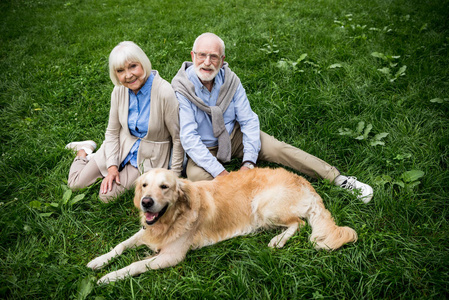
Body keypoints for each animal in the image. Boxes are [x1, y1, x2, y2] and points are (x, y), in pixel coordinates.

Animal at [86, 169, 356, 284]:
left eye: (164, 187)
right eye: (144, 185)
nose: (146, 202)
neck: (170, 220)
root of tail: (304, 181)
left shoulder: (171, 256)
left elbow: (134, 265)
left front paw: (109, 277)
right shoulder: (146, 233)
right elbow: (120, 246)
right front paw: (99, 261)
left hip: (264, 207)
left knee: (298, 223)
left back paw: (278, 240)